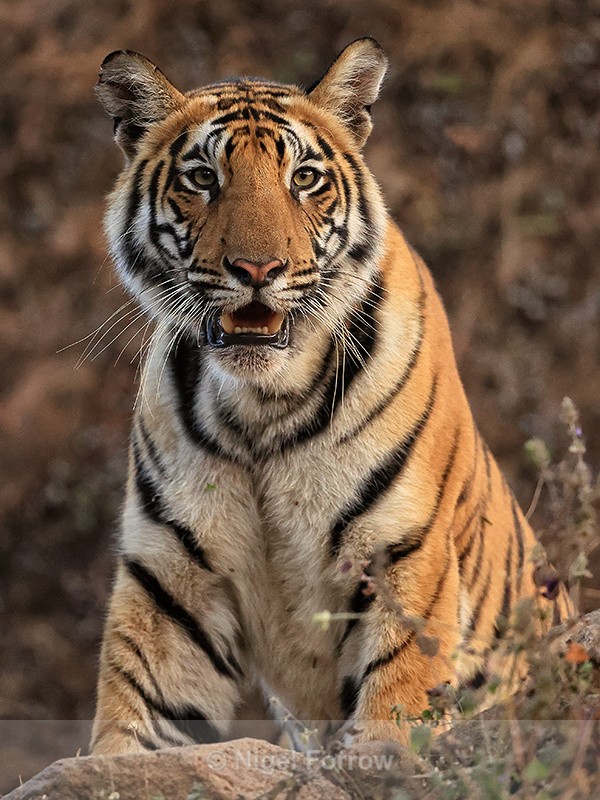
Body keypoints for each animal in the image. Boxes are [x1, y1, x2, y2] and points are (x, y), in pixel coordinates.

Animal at [90, 38, 572, 755]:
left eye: (305, 178)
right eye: (202, 178)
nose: (258, 269)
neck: (260, 403)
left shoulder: (401, 553)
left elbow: (397, 706)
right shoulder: (172, 581)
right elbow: (132, 728)